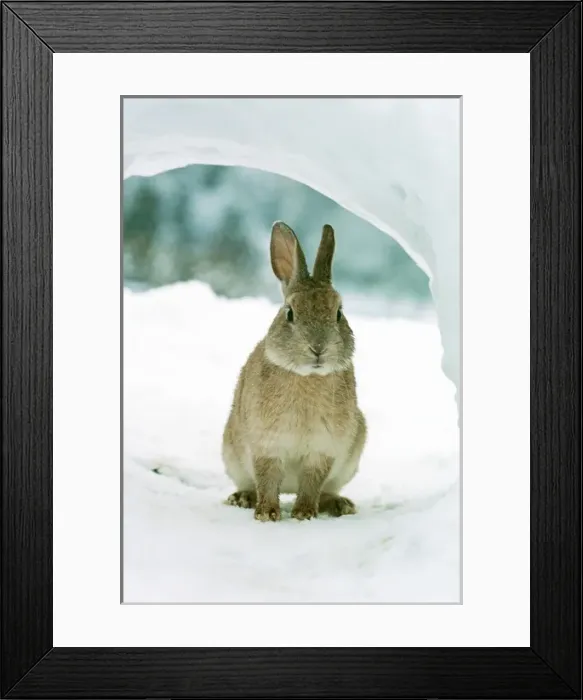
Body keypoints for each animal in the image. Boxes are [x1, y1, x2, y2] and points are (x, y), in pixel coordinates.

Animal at [222, 221, 367, 521]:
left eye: (338, 313)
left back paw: (339, 505)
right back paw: (243, 498)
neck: (307, 376)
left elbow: (312, 482)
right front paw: (267, 514)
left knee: (326, 489)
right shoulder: (267, 445)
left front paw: (304, 514)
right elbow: (267, 478)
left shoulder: (323, 450)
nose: (318, 348)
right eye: (290, 313)